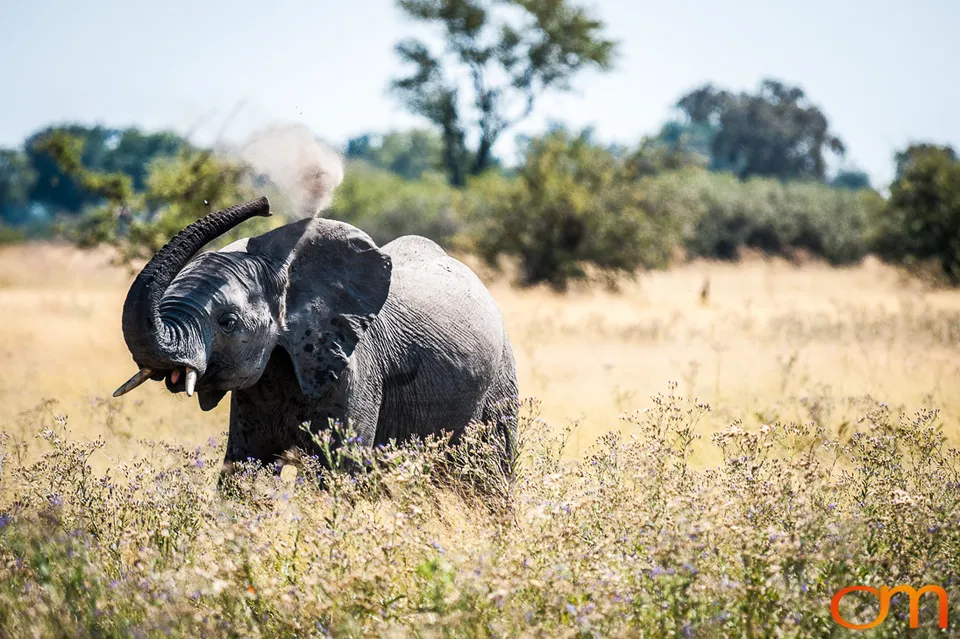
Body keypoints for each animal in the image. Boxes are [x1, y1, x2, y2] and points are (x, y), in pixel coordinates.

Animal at [112, 196, 519, 477]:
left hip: (500, 380)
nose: (264, 205)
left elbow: (335, 475)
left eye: (227, 322)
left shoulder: (356, 369)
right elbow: (242, 471)